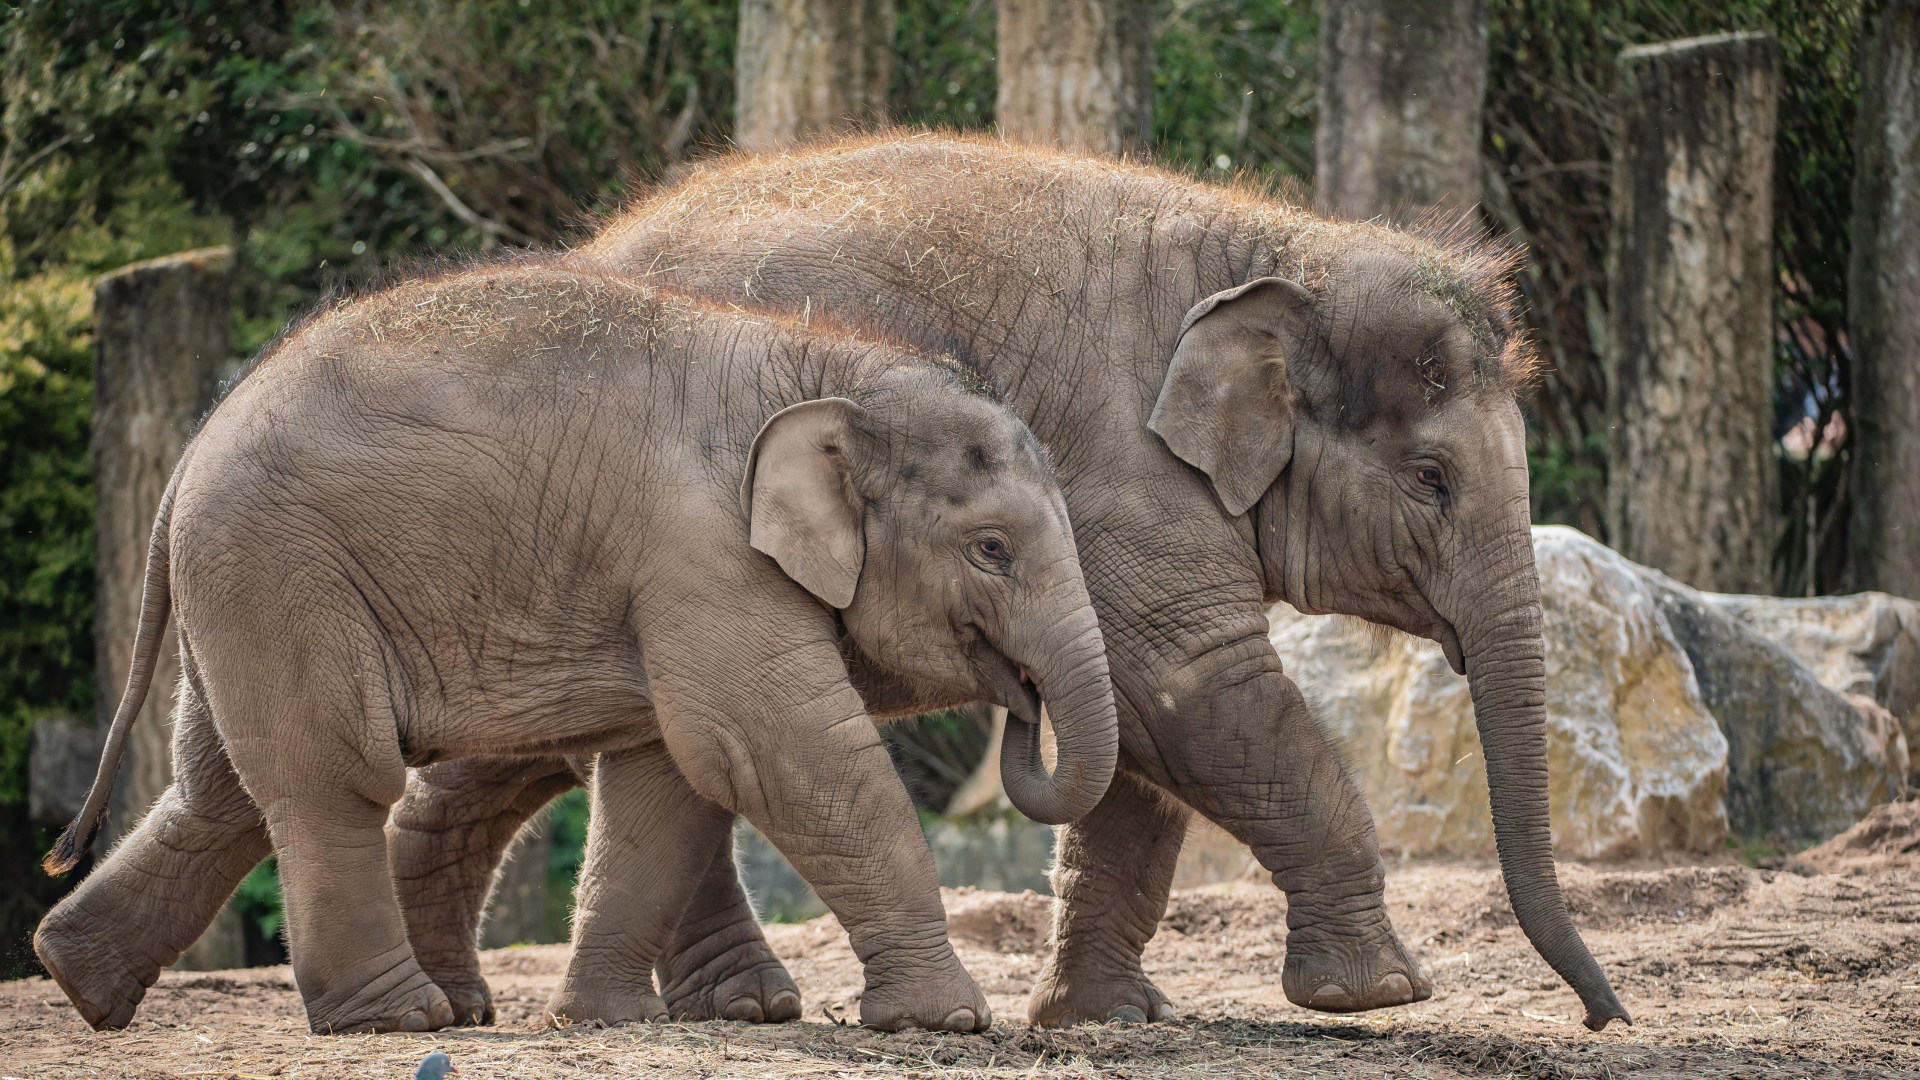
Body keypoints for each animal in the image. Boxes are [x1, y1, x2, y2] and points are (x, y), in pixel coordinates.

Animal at [30, 263, 1121, 1037]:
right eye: (992, 549)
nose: (1024, 699)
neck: (827, 365)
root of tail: (188, 456)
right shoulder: (703, 553)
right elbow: (769, 748)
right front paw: (952, 1021)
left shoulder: (676, 579)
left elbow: (669, 780)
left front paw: (604, 1018)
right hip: (280, 574)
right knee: (333, 781)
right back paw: (400, 1020)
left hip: (244, 589)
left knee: (219, 794)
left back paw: (80, 982)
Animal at [389, 134, 1620, 1022]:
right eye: (1431, 480)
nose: (1600, 1017)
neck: (1277, 246)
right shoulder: (1130, 483)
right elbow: (1188, 688)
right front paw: (1377, 995)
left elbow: (1142, 747)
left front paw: (1103, 1020)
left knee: (549, 734)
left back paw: (492, 994)